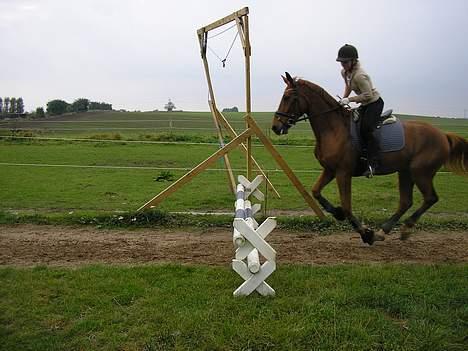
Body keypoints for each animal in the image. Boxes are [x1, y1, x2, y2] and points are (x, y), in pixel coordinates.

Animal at [272, 73, 466, 246]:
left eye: (287, 97)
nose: (275, 127)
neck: (334, 129)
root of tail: (443, 135)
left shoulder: (343, 173)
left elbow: (347, 206)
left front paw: (365, 233)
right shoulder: (330, 170)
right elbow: (316, 191)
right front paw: (337, 213)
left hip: (421, 172)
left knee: (430, 198)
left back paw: (404, 228)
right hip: (405, 172)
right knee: (406, 201)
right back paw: (384, 231)